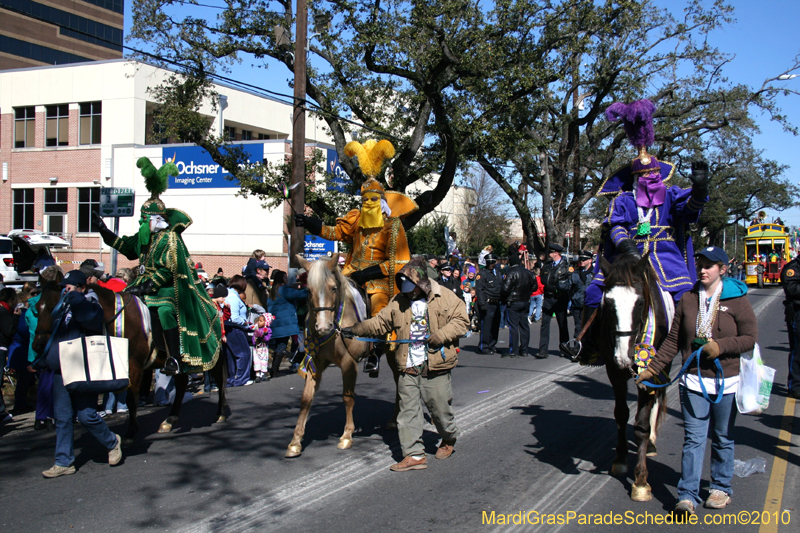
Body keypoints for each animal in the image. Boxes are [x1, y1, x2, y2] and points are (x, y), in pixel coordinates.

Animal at [33, 274, 228, 440]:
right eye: (36, 309)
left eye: (54, 307)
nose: (38, 346)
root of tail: (212, 306)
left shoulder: (133, 365)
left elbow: (131, 399)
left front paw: (130, 432)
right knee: (181, 385)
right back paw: (169, 420)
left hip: (214, 356)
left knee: (220, 379)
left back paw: (220, 413)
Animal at [288, 254, 400, 458]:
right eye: (308, 290)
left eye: (333, 288)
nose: (323, 327)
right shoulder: (314, 362)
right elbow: (306, 398)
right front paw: (295, 441)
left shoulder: (349, 363)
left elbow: (348, 398)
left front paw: (346, 436)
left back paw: (394, 420)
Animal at [596, 251, 672, 500]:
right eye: (608, 303)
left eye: (639, 303)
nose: (624, 357)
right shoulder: (614, 372)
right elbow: (621, 415)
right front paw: (620, 459)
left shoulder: (649, 372)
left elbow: (641, 425)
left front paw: (640, 480)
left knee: (657, 401)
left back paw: (651, 444)